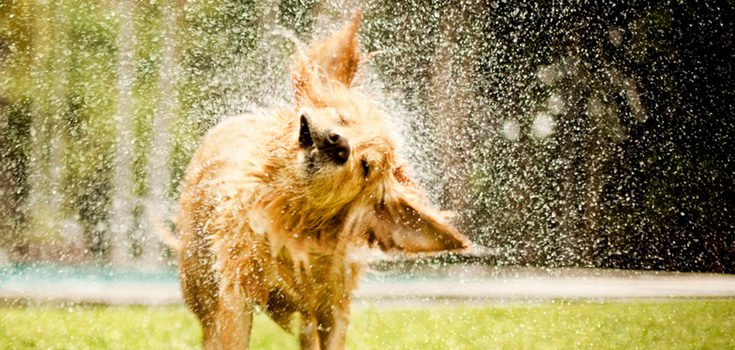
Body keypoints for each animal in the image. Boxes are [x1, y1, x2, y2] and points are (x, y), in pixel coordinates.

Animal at [172, 12, 468, 348]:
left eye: (365, 166)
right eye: (343, 118)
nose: (338, 144)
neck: (292, 221)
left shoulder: (334, 303)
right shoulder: (236, 293)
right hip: (200, 283)